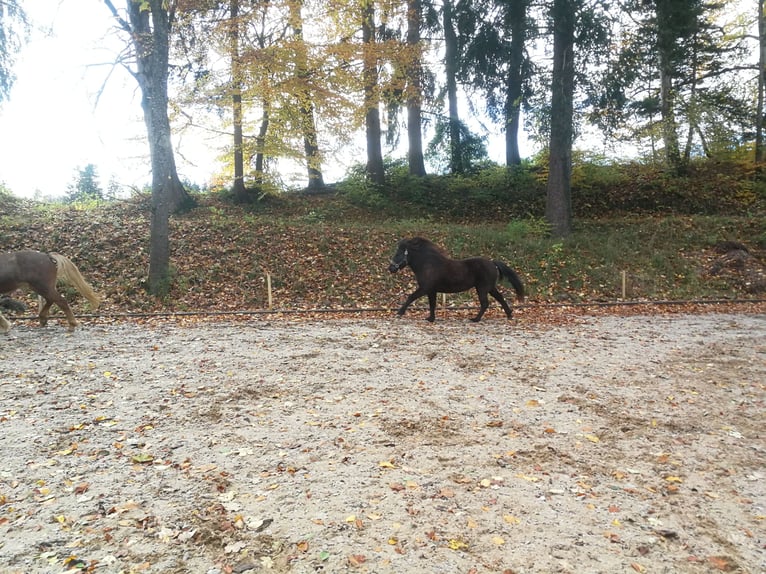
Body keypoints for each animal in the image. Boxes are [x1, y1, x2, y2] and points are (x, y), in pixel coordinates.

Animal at [388, 237, 525, 323]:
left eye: (398, 254)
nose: (390, 268)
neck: (427, 265)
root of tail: (492, 263)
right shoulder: (431, 290)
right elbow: (432, 304)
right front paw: (430, 319)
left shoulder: (425, 288)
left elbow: (411, 297)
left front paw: (399, 313)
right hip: (490, 288)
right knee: (500, 298)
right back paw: (509, 314)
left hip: (482, 288)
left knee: (485, 303)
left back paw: (475, 319)